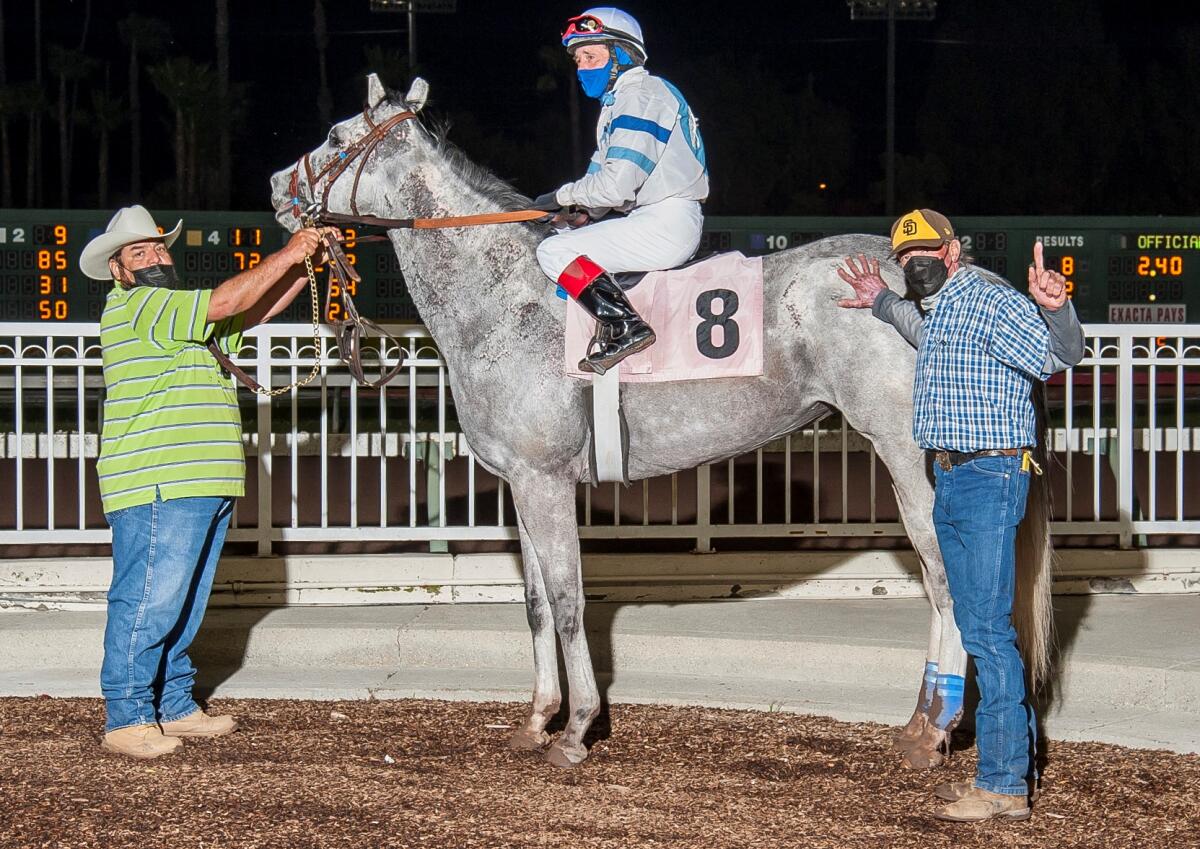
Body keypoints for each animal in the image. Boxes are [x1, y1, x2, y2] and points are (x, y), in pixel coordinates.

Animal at [272, 76, 1051, 772]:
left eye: (335, 136)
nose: (279, 184)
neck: (502, 303)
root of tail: (958, 279)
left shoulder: (546, 482)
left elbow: (567, 601)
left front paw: (575, 731)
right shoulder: (521, 484)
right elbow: (533, 602)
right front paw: (535, 719)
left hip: (908, 450)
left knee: (944, 572)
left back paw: (934, 728)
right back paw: (923, 721)